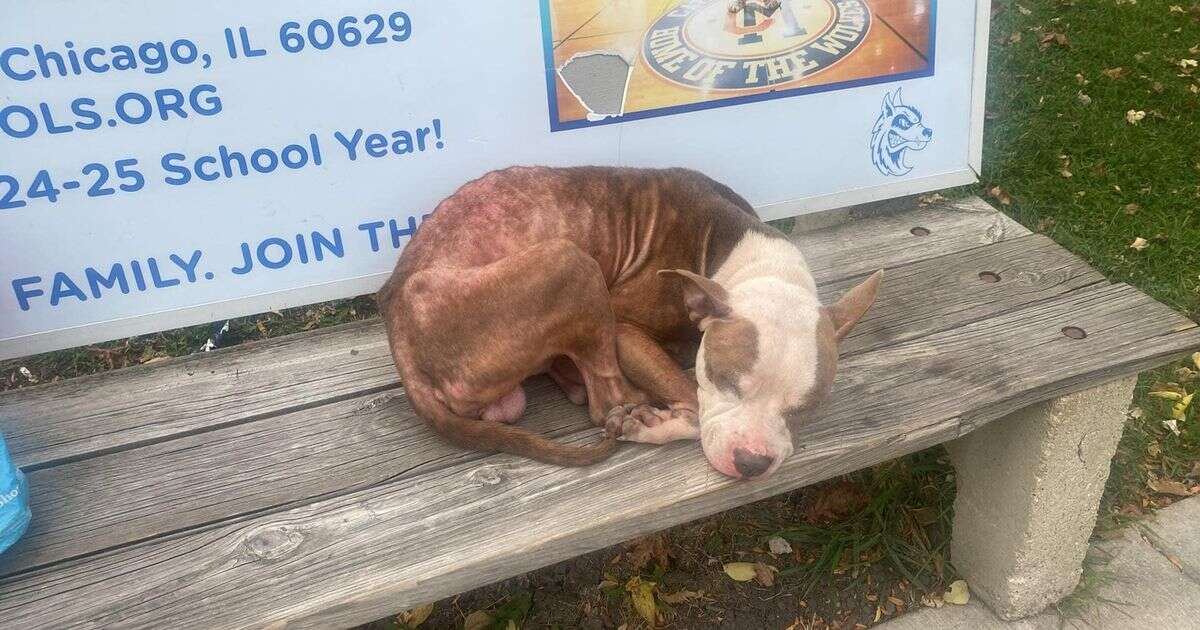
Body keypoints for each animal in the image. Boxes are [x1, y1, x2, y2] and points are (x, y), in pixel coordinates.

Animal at [376, 165, 883, 477]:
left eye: (805, 407)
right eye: (725, 382)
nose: (752, 463)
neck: (749, 258)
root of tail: (396, 320)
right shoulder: (625, 331)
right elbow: (694, 403)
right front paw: (657, 423)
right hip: (572, 264)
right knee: (605, 404)